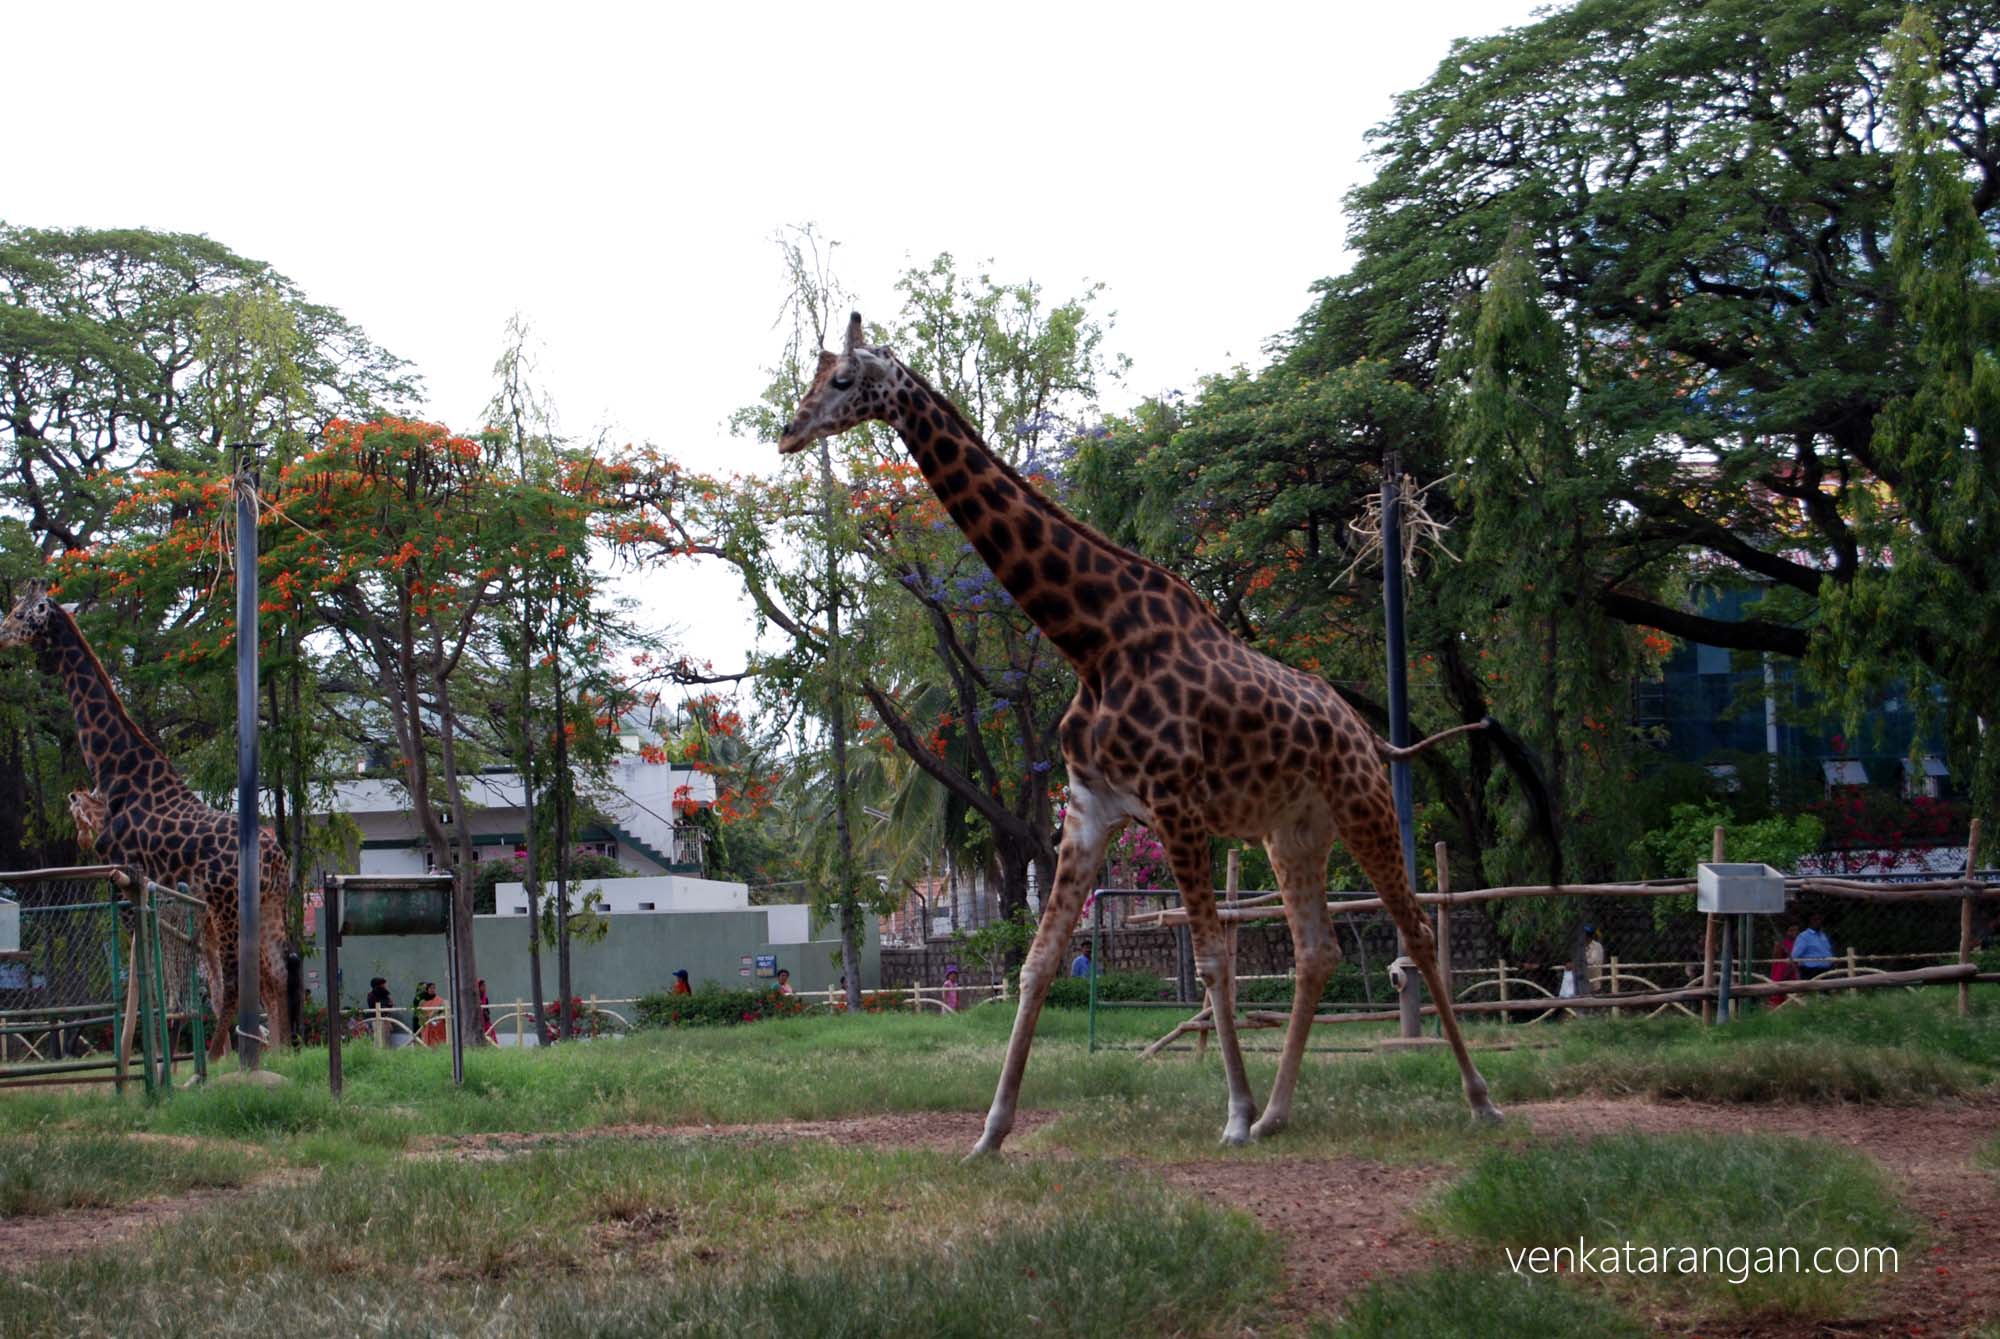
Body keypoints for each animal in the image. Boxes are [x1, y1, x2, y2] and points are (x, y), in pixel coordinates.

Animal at [1, 582, 291, 1058]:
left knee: (236, 981)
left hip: (228, 903)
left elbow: (145, 980)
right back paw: (282, 1053)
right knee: (277, 976)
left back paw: (220, 1056)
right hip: (269, 904)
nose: (1, 635)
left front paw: (149, 1056)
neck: (114, 769)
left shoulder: (123, 875)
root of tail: (276, 858)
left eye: (21, 613)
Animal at [779, 314, 1505, 1154]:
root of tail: (1366, 732)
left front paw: (1232, 1114)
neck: (1092, 639)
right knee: (1317, 951)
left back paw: (1477, 1098)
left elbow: (1215, 957)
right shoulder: (1090, 807)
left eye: (840, 379)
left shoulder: (1176, 801)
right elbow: (1036, 962)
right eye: (813, 373)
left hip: (1365, 806)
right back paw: (1281, 1111)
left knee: (1415, 931)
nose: (789, 430)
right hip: (1293, 832)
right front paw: (991, 1133)